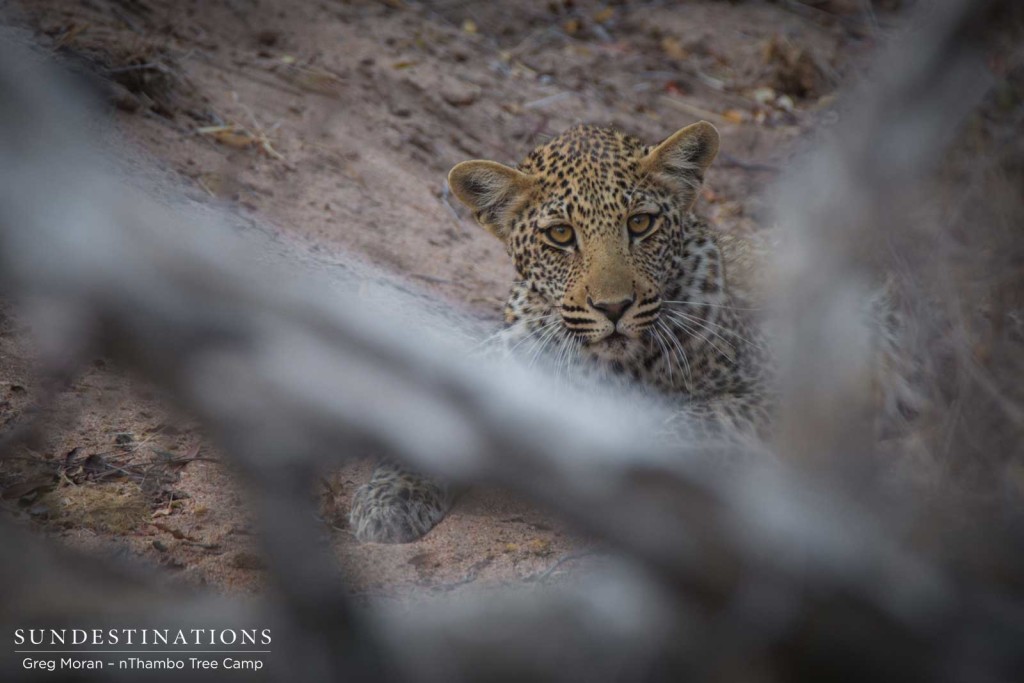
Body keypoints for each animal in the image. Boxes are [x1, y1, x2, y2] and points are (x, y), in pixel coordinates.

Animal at [348, 118, 770, 544]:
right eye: (561, 235)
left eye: (640, 223)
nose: (613, 307)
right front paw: (389, 500)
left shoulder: (762, 391)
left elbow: (690, 426)